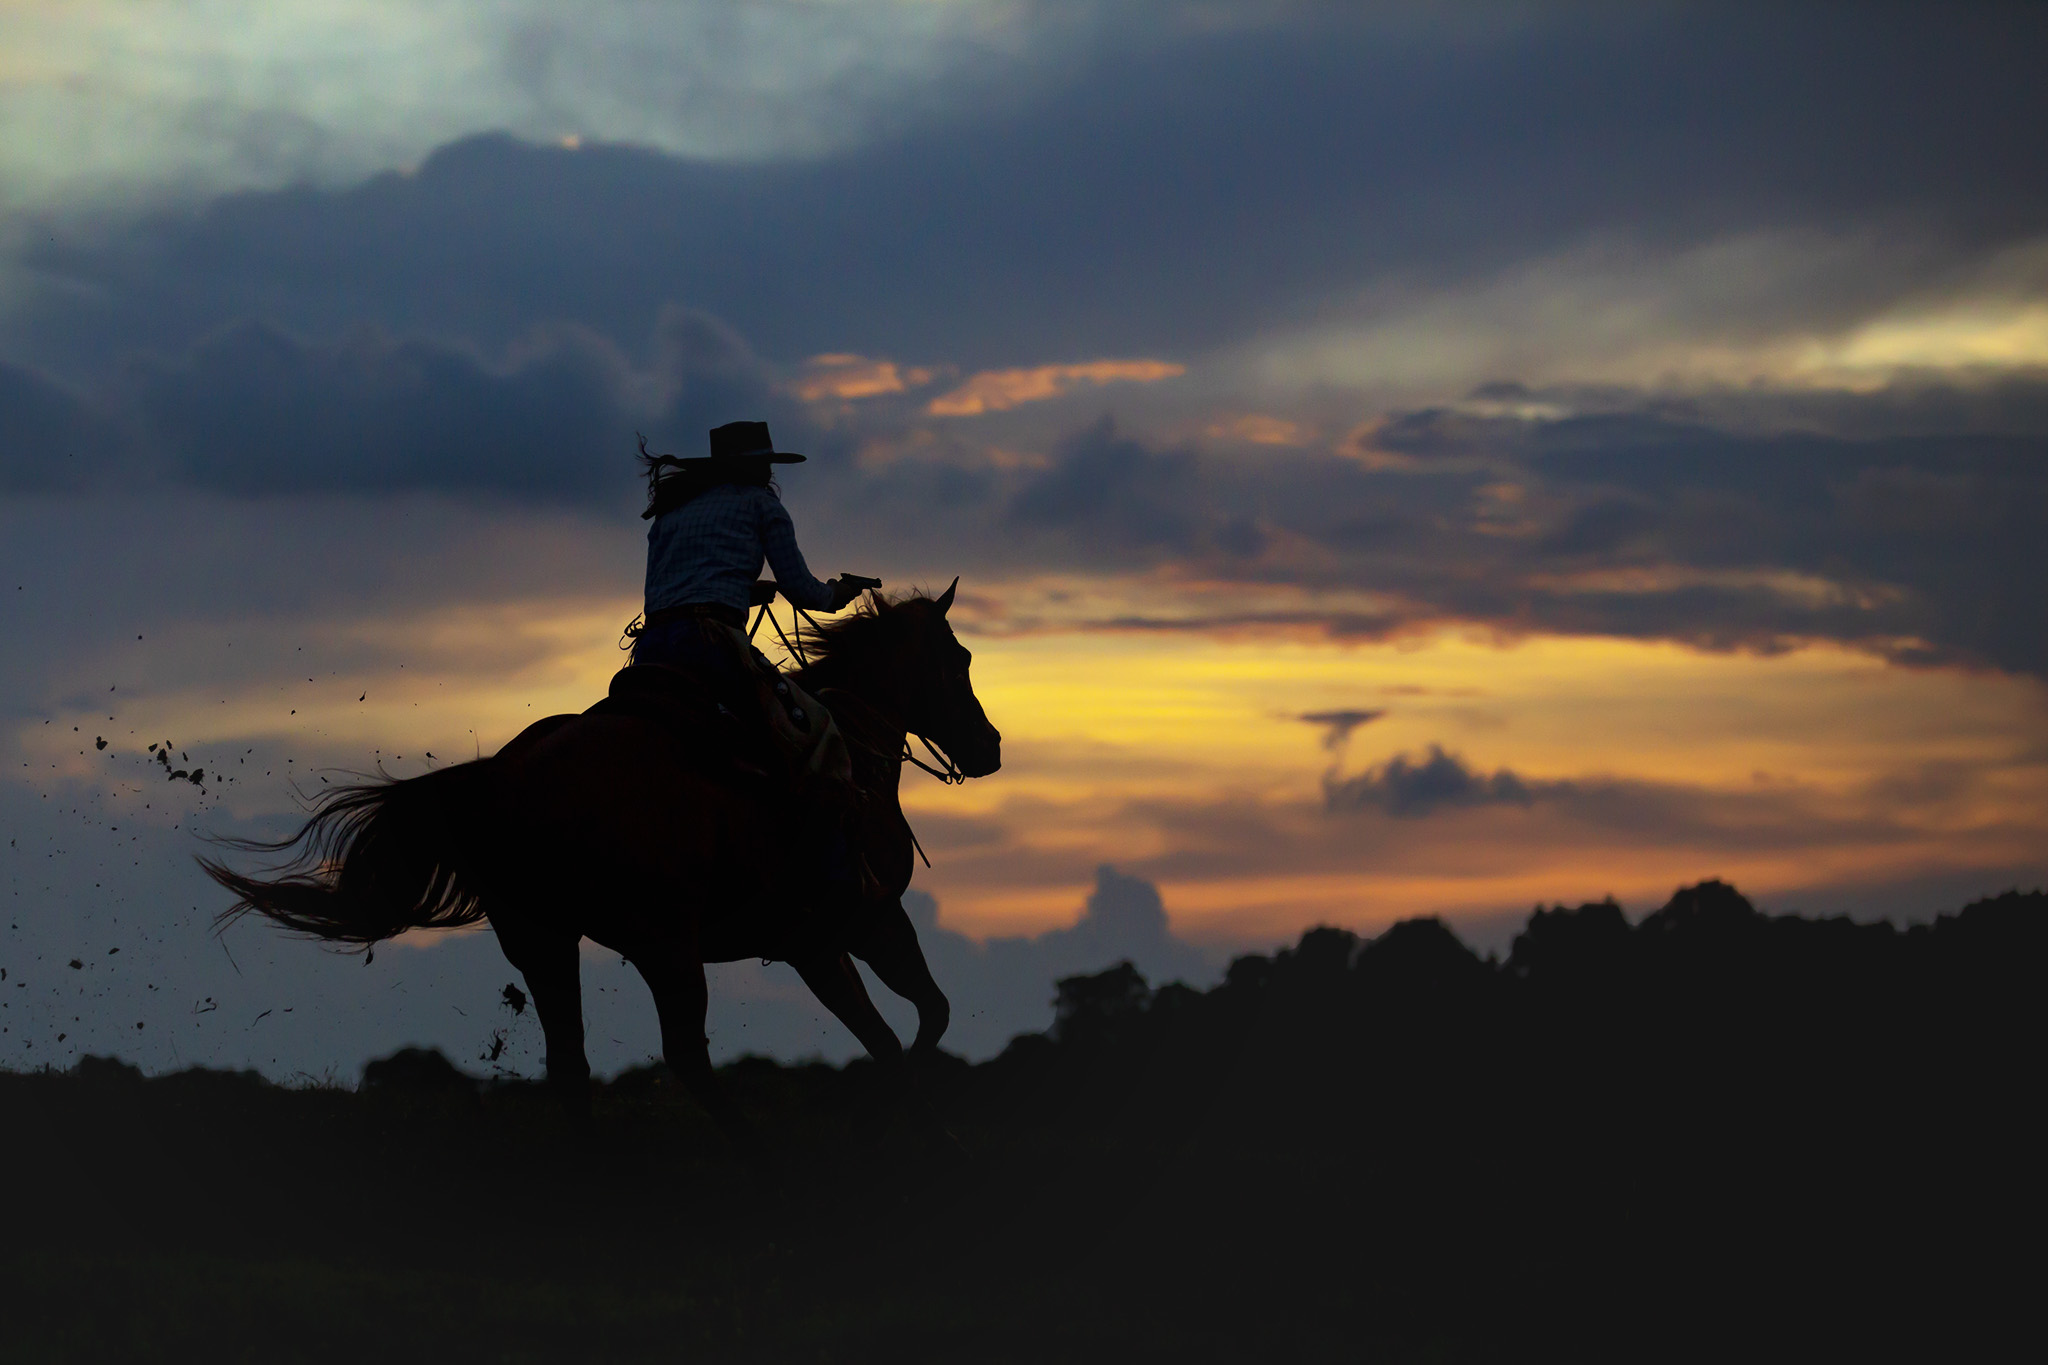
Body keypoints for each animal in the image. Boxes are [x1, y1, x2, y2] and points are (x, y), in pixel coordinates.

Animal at [203, 581, 1003, 1146]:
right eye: (959, 659)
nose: (990, 745)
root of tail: (501, 777)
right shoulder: (844, 929)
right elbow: (904, 1028)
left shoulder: (844, 933)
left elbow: (907, 1023)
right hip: (664, 946)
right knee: (684, 1054)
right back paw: (757, 1155)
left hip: (544, 939)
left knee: (571, 1063)